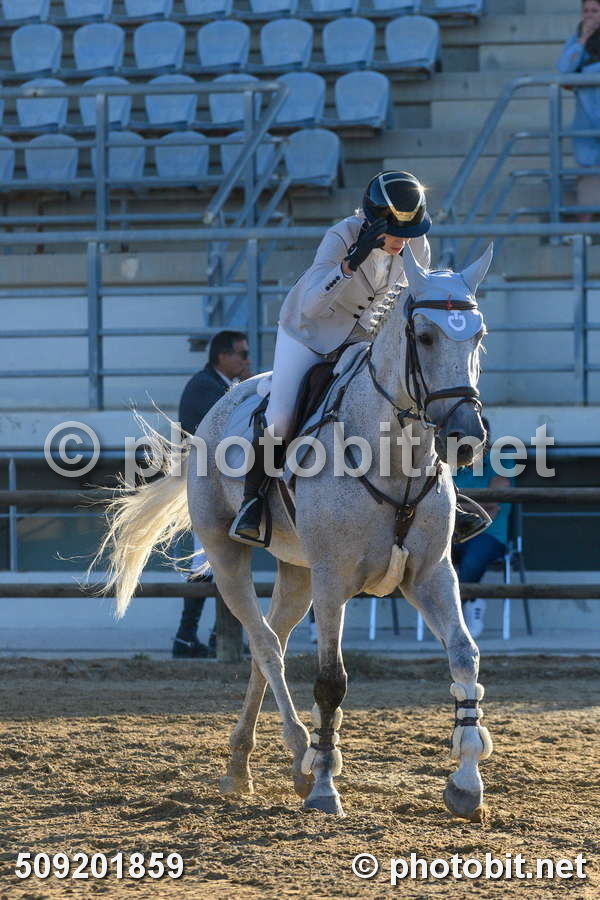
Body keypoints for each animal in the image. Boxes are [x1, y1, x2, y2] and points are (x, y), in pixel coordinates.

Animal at [98, 244, 495, 822]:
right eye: (425, 336)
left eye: (478, 335)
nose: (467, 436)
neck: (393, 455)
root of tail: (221, 408)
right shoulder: (333, 581)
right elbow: (331, 681)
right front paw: (327, 785)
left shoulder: (432, 574)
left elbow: (465, 656)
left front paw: (466, 781)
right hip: (229, 558)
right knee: (264, 644)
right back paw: (297, 756)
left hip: (297, 571)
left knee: (272, 643)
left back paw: (245, 765)